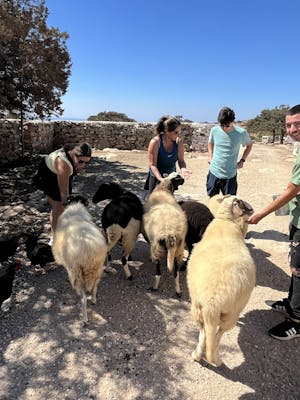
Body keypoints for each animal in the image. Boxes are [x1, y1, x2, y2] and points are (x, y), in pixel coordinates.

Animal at [51, 195, 108, 324]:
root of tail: (89, 248)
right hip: (98, 268)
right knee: (95, 287)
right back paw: (94, 299)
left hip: (77, 273)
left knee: (83, 299)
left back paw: (84, 318)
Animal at [188, 195, 255, 368]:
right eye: (242, 203)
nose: (252, 209)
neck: (226, 221)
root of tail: (213, 302)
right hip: (232, 313)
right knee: (219, 333)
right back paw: (216, 360)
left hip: (197, 307)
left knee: (203, 331)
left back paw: (197, 355)